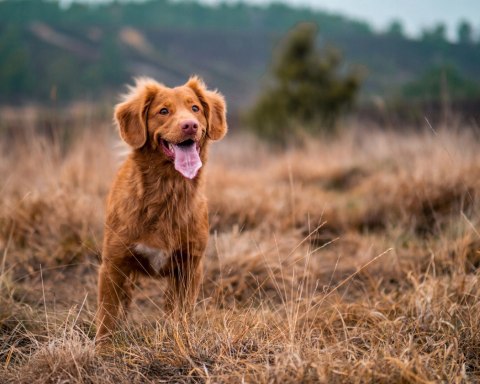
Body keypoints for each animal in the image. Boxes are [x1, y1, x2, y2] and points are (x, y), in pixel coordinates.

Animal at [96, 76, 228, 342]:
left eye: (195, 108)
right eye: (163, 111)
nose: (190, 125)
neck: (167, 191)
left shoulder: (189, 267)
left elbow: (182, 313)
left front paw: (181, 337)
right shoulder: (113, 265)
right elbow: (107, 316)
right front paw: (102, 347)